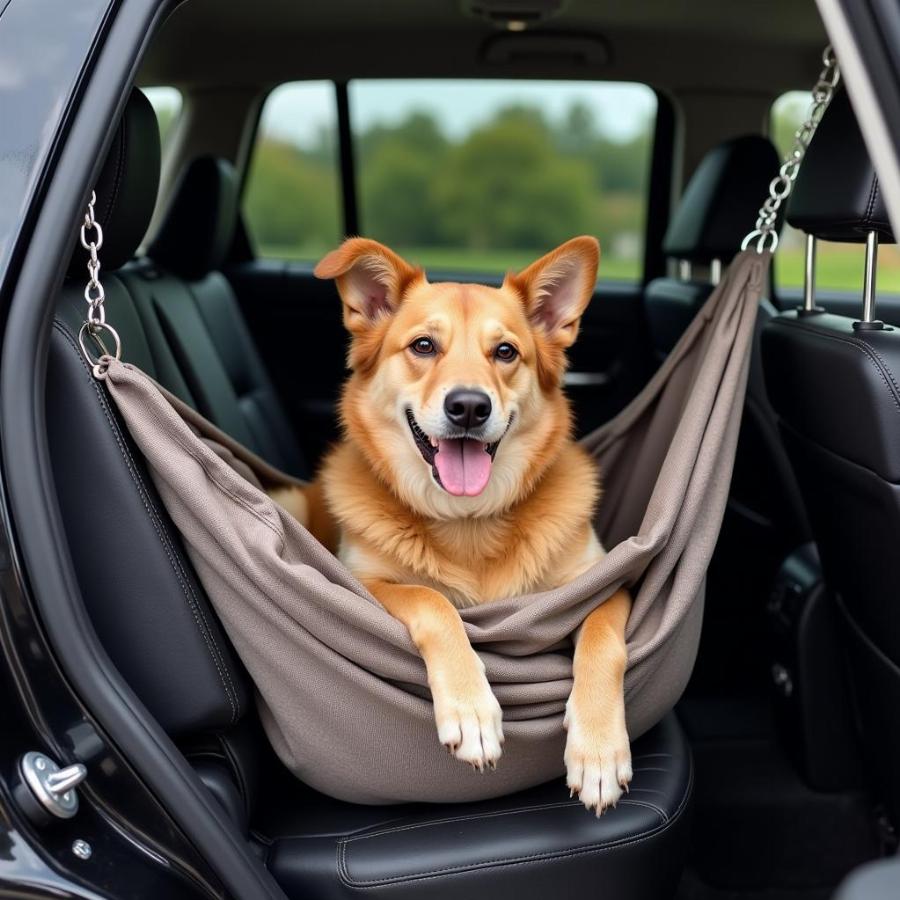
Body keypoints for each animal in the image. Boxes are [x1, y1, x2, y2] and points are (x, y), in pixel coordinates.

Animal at [274, 236, 632, 812]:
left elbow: (603, 639)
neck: (467, 520)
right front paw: (471, 710)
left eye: (505, 352)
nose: (468, 407)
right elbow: (432, 601)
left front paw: (598, 751)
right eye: (423, 346)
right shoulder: (364, 584)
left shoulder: (603, 580)